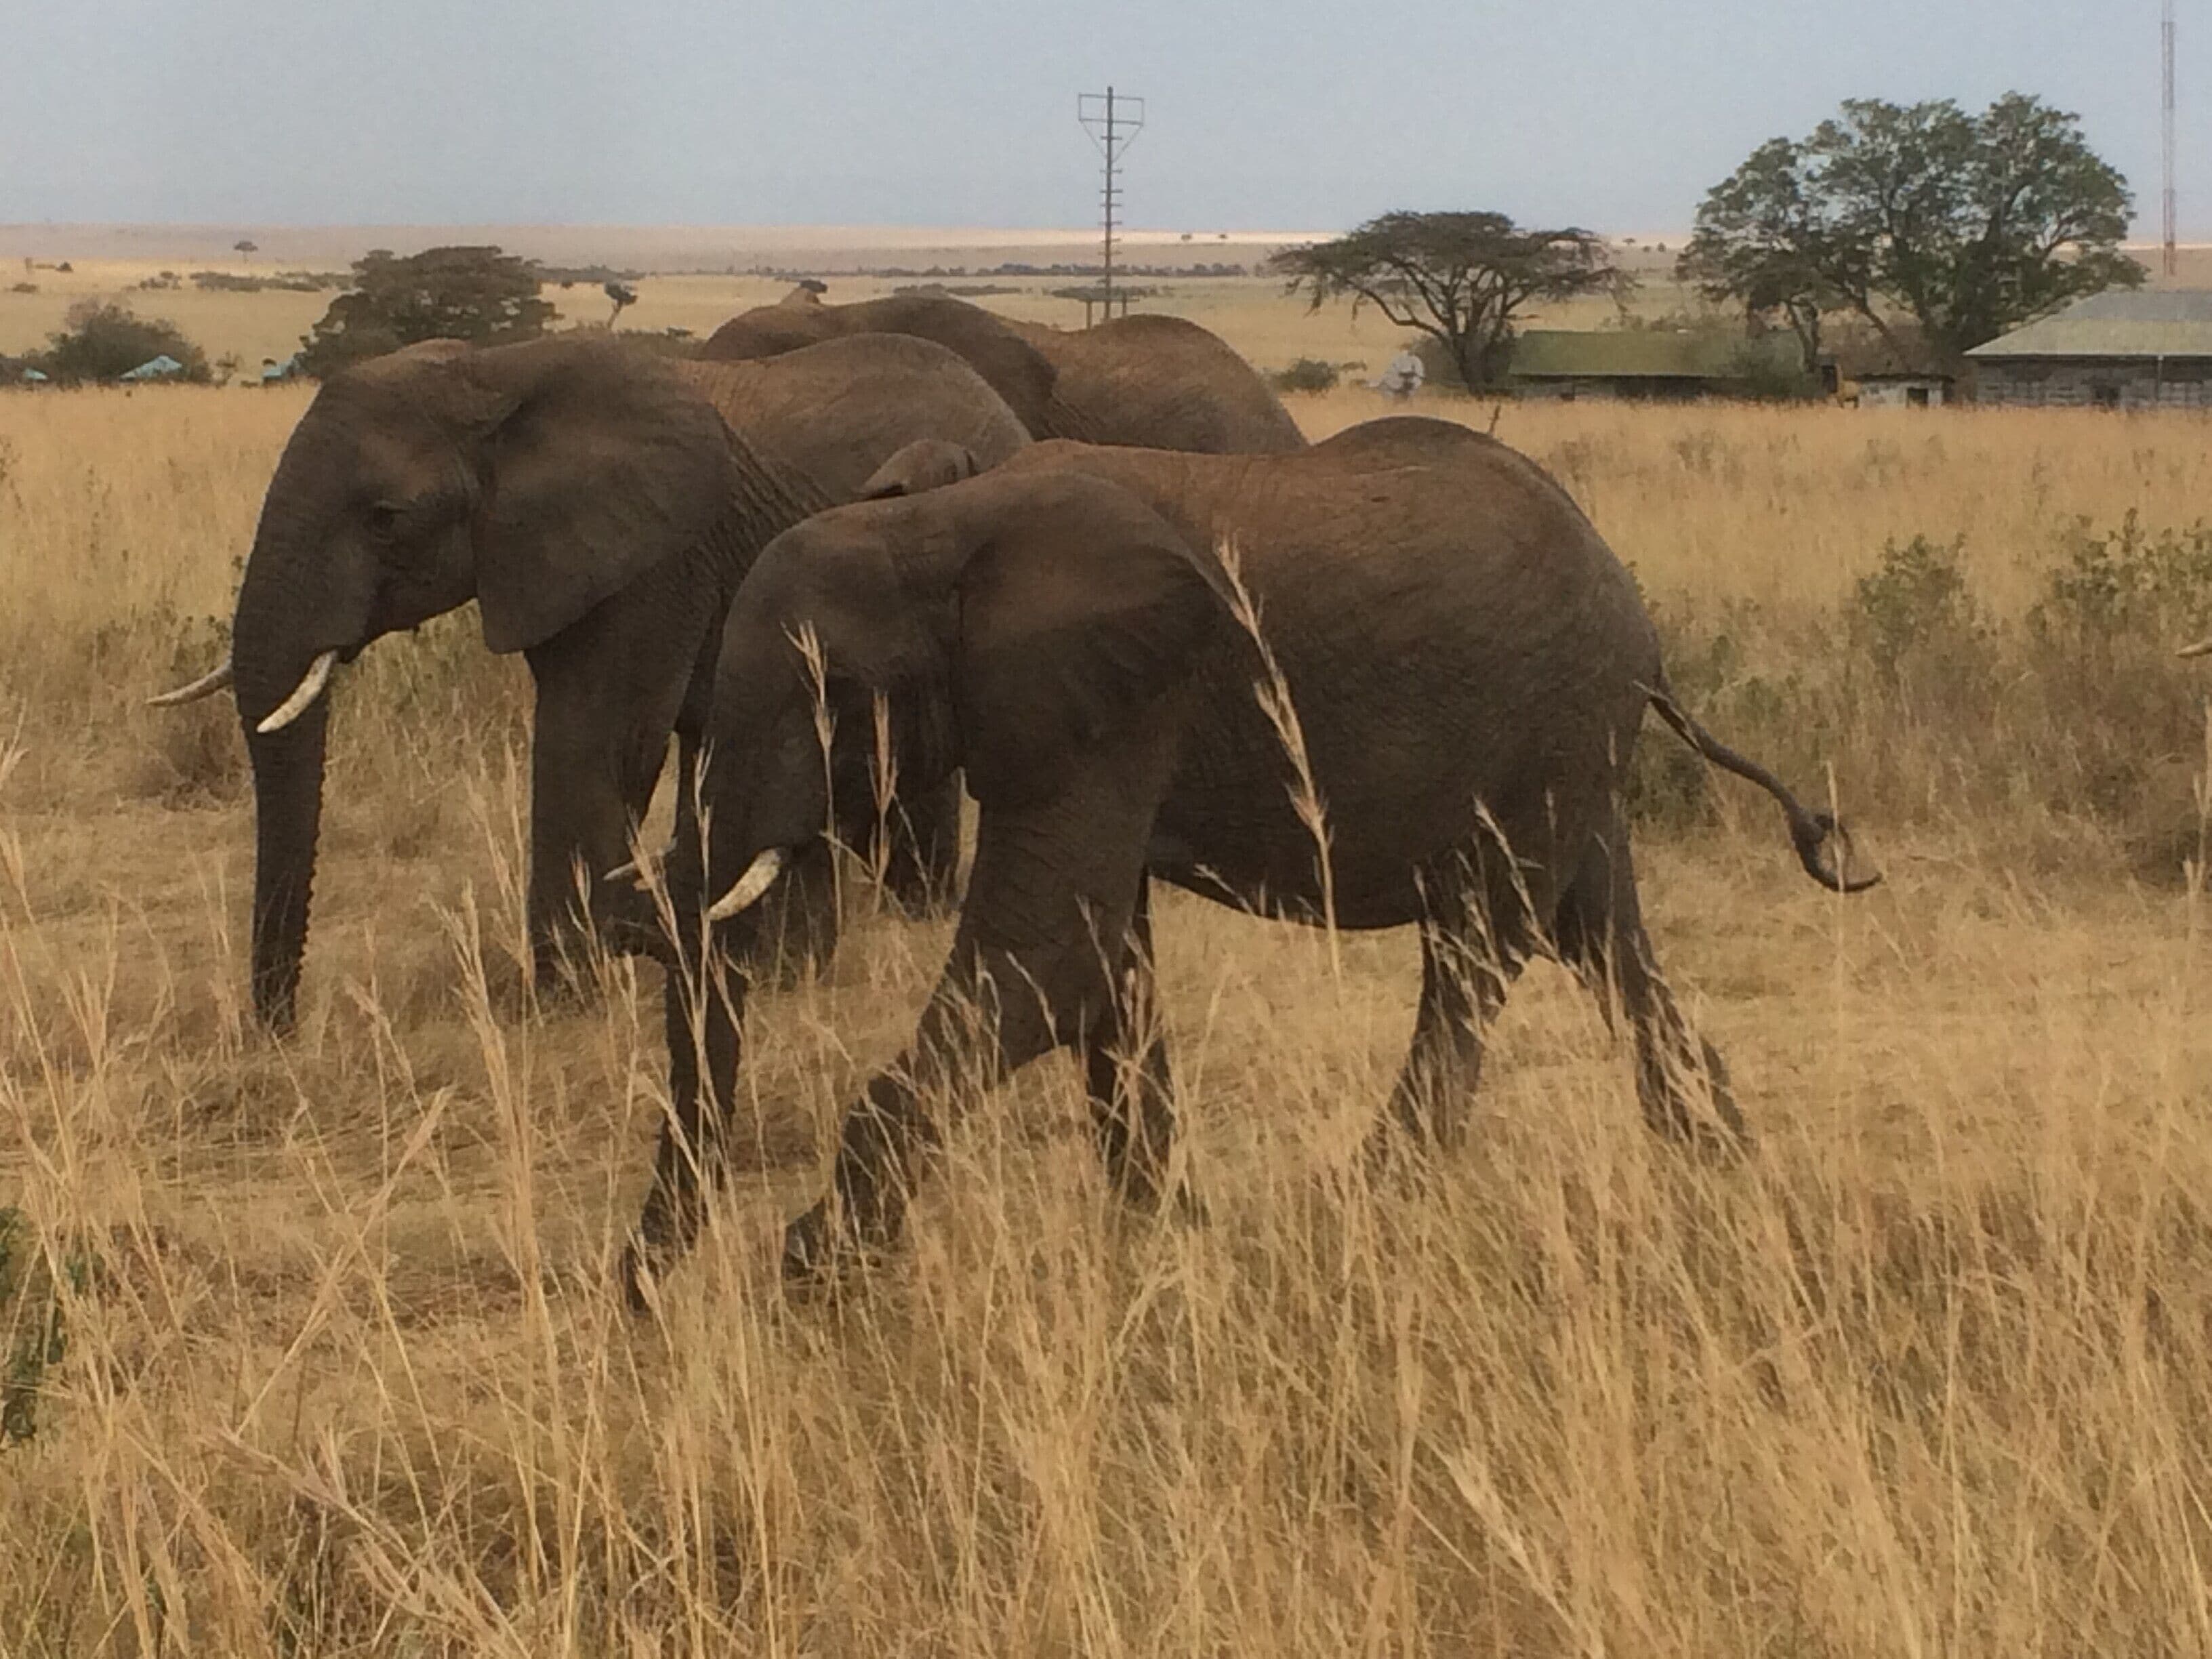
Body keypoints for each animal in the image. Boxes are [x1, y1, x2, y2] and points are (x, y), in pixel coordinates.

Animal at [150, 330, 1030, 1031]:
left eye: (385, 518)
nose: (281, 1032)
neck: (494, 377)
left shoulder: (656, 560)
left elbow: (596, 743)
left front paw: (564, 1006)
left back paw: (909, 918)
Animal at [624, 418, 1877, 1300]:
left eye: (831, 697)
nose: (634, 1291)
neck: (942, 522)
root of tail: (1633, 614)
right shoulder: (1092, 713)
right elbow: (1105, 965)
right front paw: (1162, 1236)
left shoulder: (1113, 702)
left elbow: (1045, 956)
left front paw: (813, 1267)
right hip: (1573, 747)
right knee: (1597, 932)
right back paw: (1724, 1168)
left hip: (1548, 733)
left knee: (1480, 946)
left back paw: (1367, 1204)